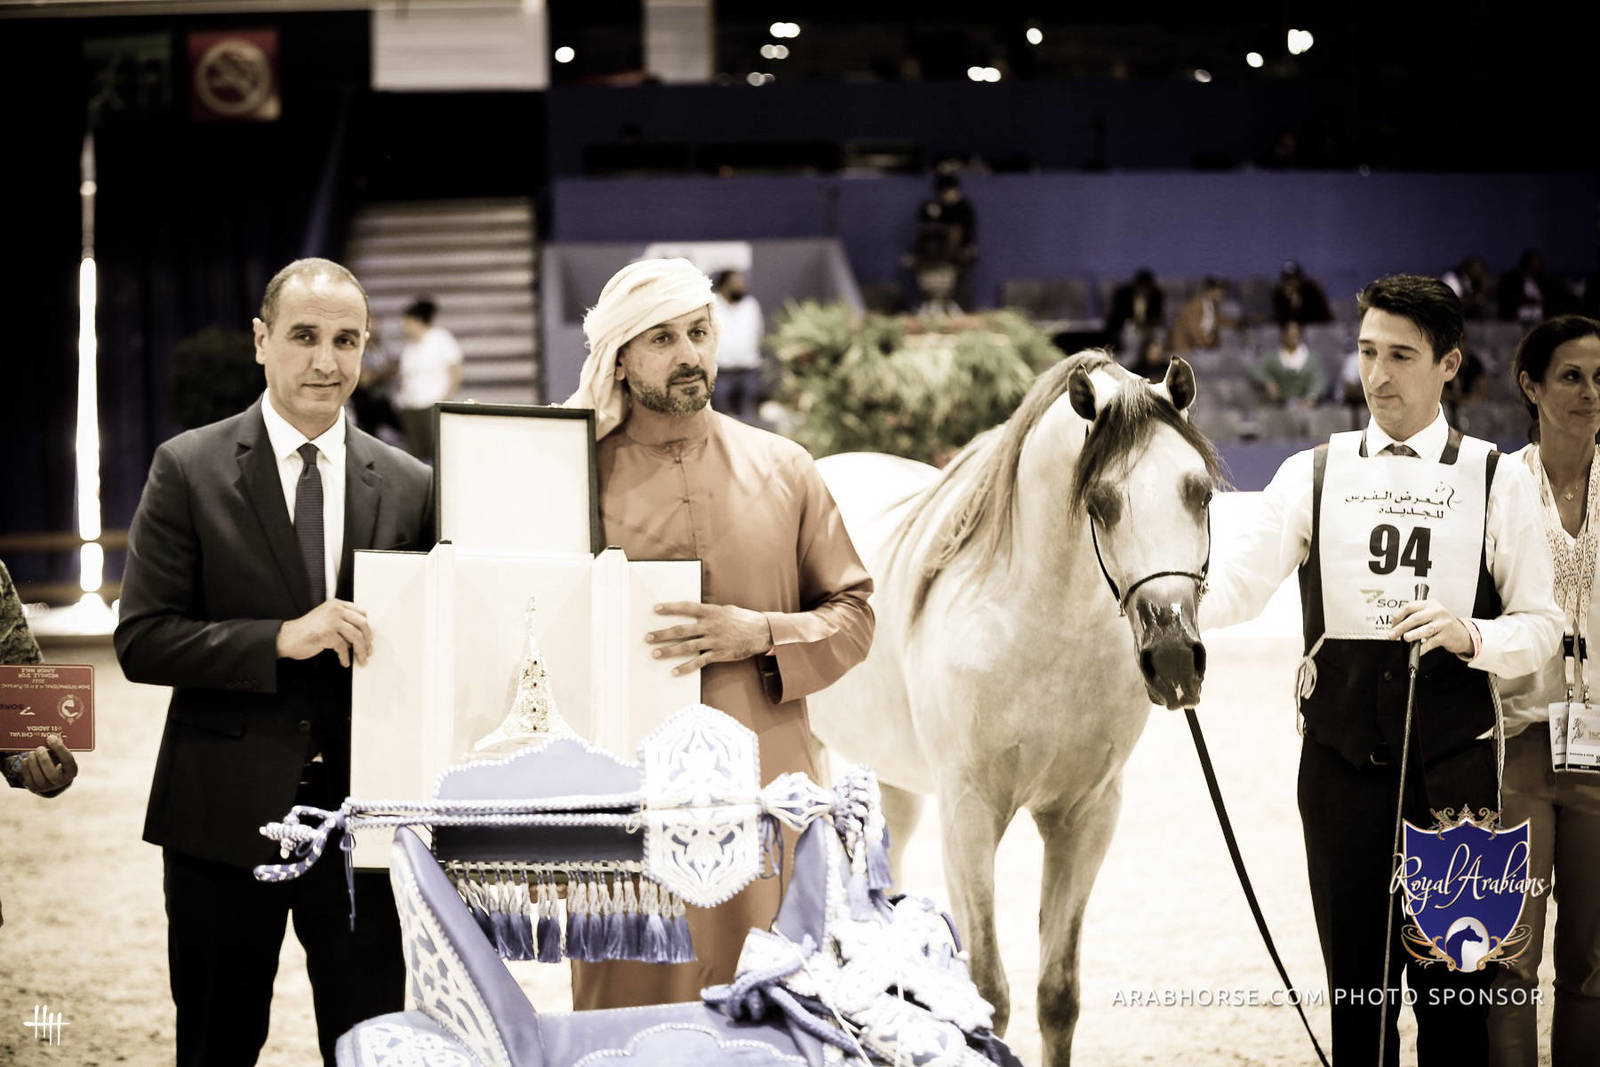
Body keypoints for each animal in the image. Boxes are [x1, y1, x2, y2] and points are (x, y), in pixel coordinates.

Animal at [808, 351, 1222, 1067]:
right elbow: (987, 992)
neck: (1039, 628)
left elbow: (1058, 995)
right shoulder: (969, 813)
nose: (1173, 660)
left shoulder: (1085, 817)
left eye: (1199, 492)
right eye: (1101, 502)